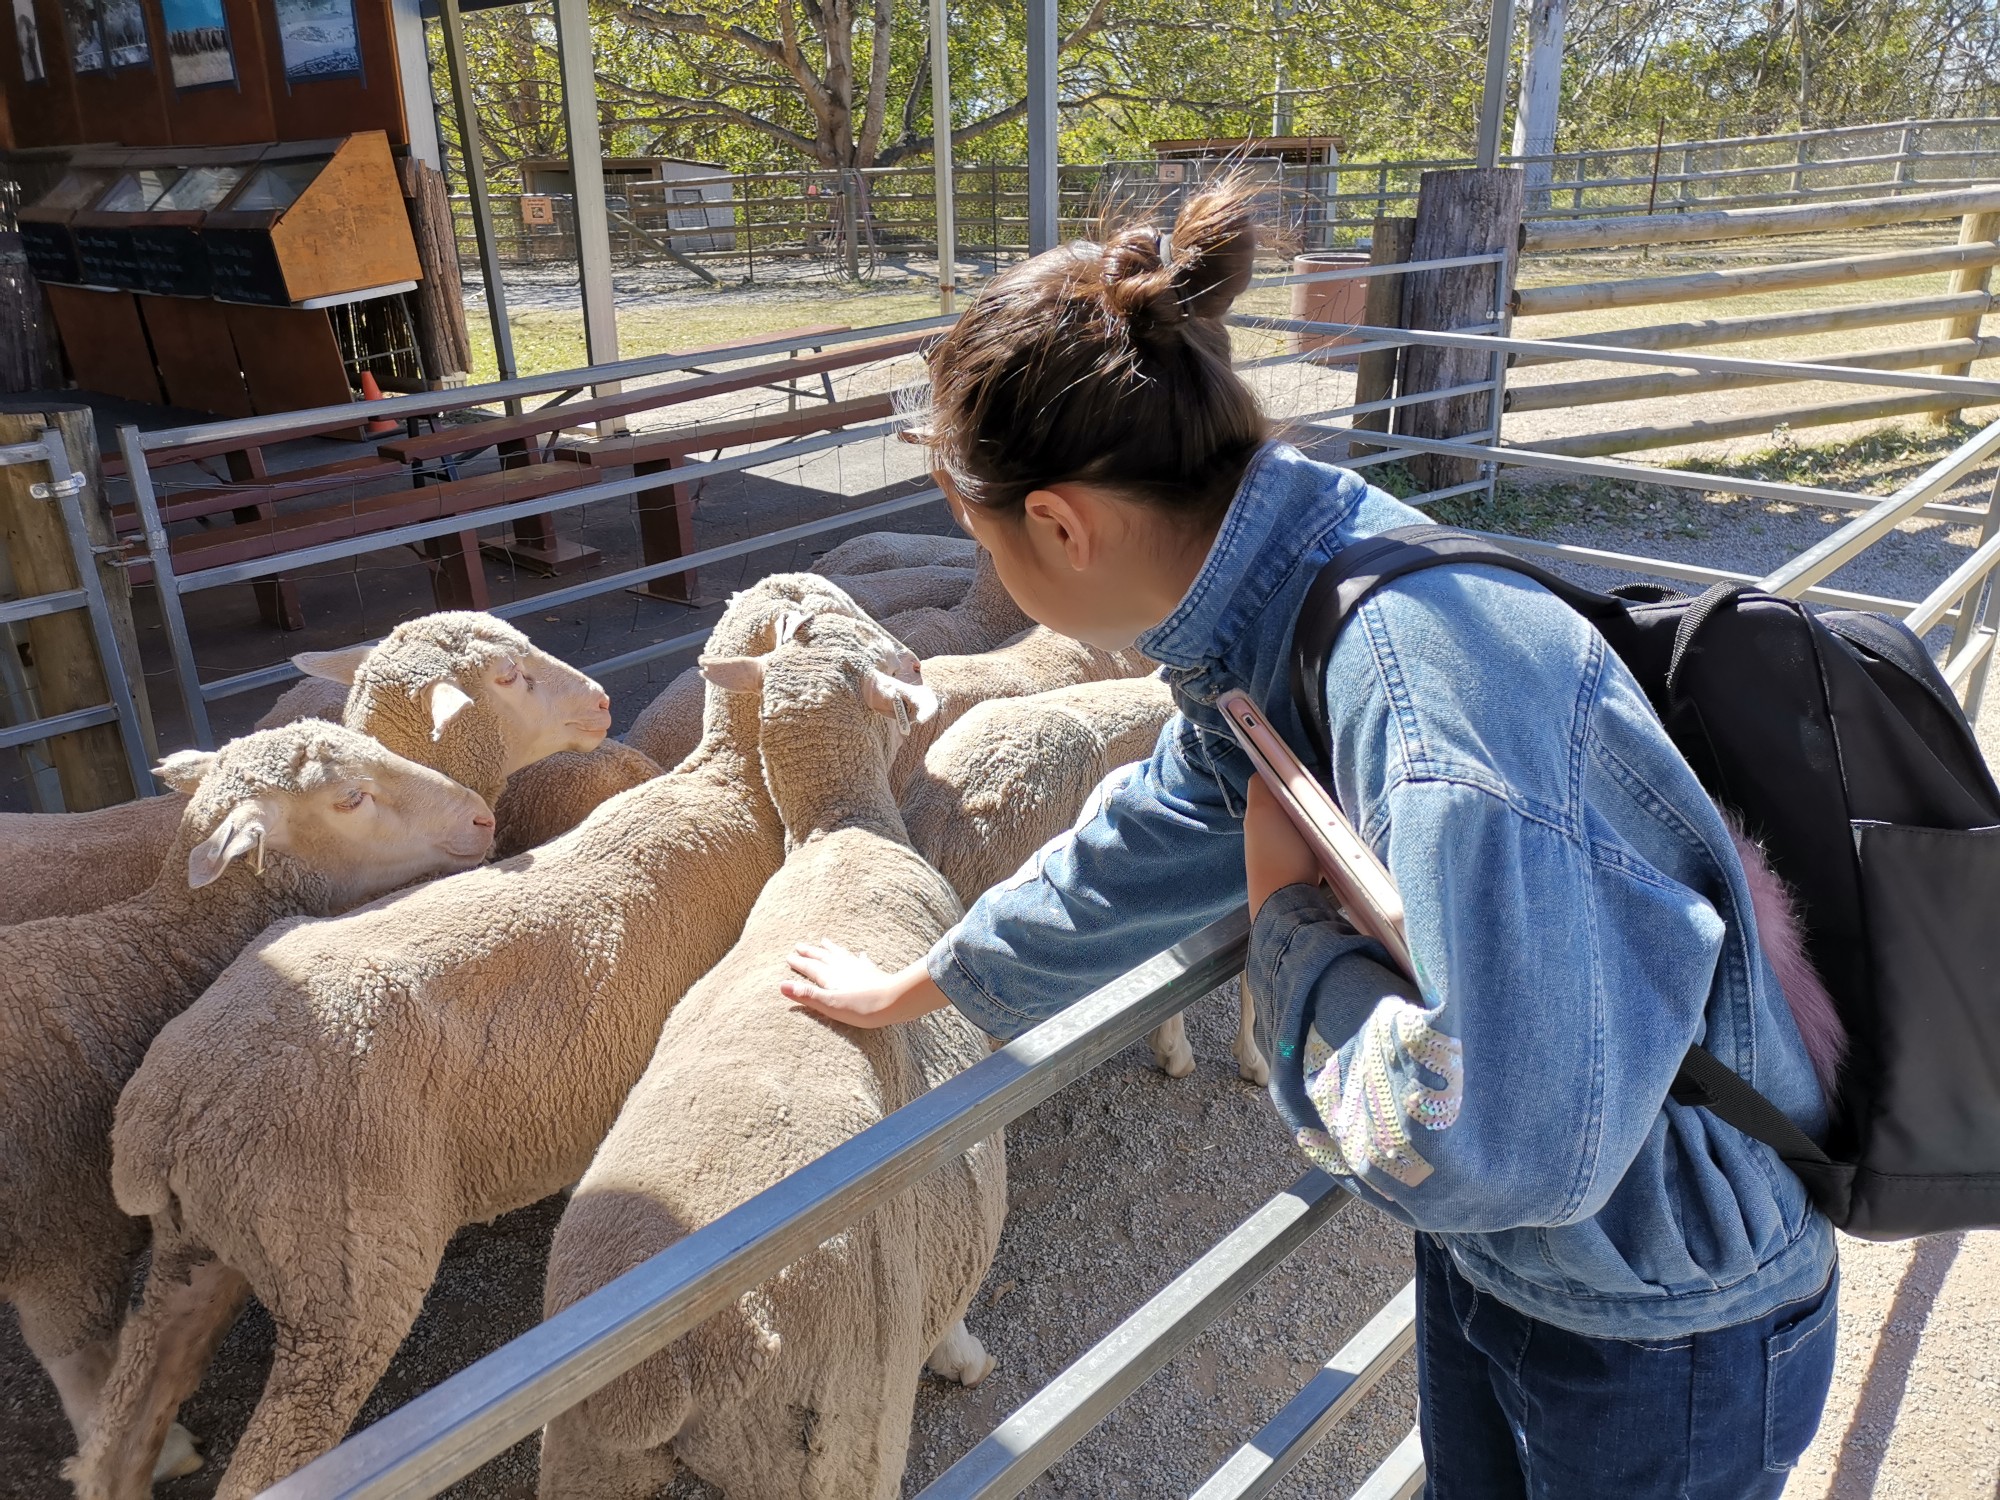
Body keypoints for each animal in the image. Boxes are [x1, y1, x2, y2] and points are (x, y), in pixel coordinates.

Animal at [2, 724, 492, 1496]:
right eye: (349, 798)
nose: (482, 818)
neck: (145, 964)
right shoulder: (61, 1255)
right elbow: (87, 1382)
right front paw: (164, 1452)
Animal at [68, 576, 928, 1500]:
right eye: (838, 622)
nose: (917, 665)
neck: (729, 787)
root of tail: (169, 1115)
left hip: (192, 1258)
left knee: (123, 1425)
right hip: (340, 1279)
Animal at [536, 608, 1000, 1500]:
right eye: (882, 657)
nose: (918, 660)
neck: (838, 828)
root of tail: (656, 1379)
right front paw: (963, 1357)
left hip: (584, 1464)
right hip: (835, 1439)